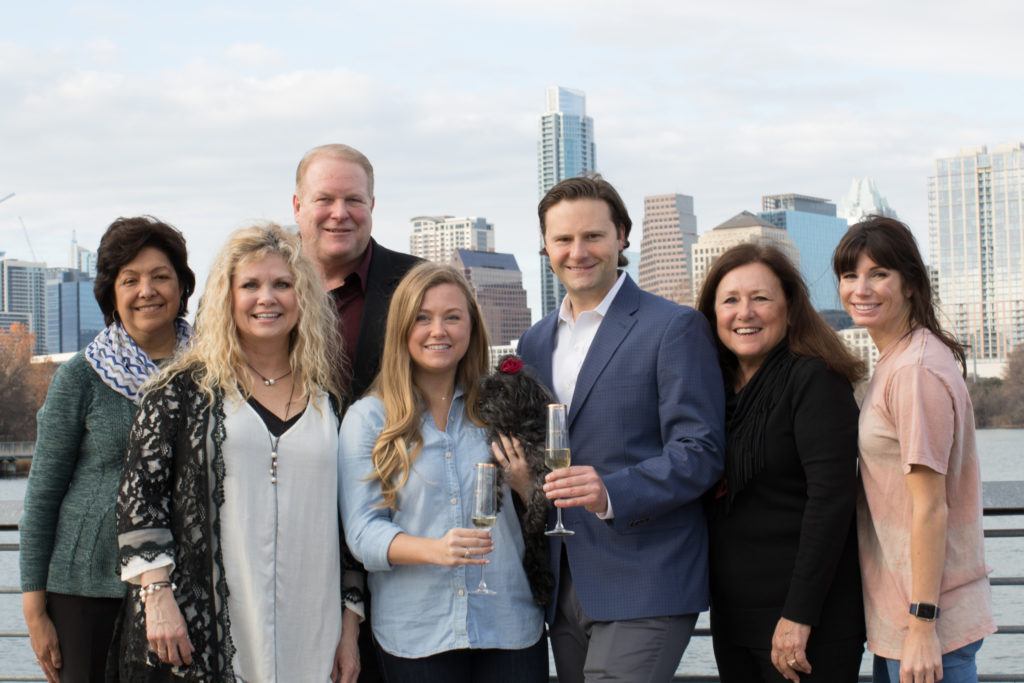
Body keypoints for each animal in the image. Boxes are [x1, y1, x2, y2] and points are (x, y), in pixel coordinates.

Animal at [475, 356, 557, 606]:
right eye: (488, 387)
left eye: (502, 389)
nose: (480, 403)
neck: (516, 428)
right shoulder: (498, 455)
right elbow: (491, 476)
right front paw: (490, 501)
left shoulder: (544, 462)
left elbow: (540, 490)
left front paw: (534, 517)